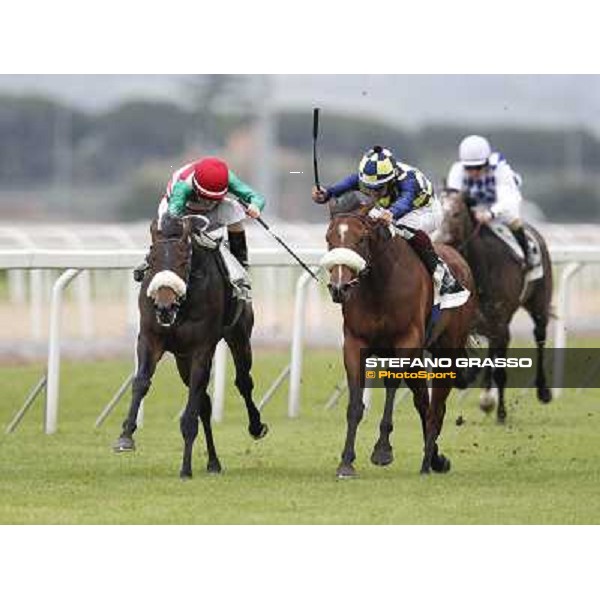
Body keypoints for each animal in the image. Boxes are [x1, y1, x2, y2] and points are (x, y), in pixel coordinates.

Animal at [114, 211, 268, 478]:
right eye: (152, 259)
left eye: (184, 260)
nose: (164, 306)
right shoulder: (150, 338)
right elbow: (141, 381)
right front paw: (126, 435)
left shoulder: (201, 349)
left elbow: (190, 412)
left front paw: (185, 468)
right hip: (182, 358)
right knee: (204, 403)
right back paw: (213, 462)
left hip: (239, 336)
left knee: (243, 381)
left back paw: (255, 426)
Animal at [322, 207, 476, 478]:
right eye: (329, 240)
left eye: (360, 239)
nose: (339, 288)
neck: (379, 286)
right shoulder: (354, 342)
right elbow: (355, 402)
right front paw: (346, 461)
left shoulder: (406, 340)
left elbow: (392, 384)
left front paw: (382, 450)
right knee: (423, 403)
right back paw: (435, 458)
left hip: (447, 351)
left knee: (437, 406)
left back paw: (428, 462)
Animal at [440, 192, 552, 422]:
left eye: (456, 213)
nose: (440, 240)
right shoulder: (473, 323)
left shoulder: (500, 321)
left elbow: (500, 371)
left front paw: (501, 413)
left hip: (539, 304)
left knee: (540, 336)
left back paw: (543, 391)